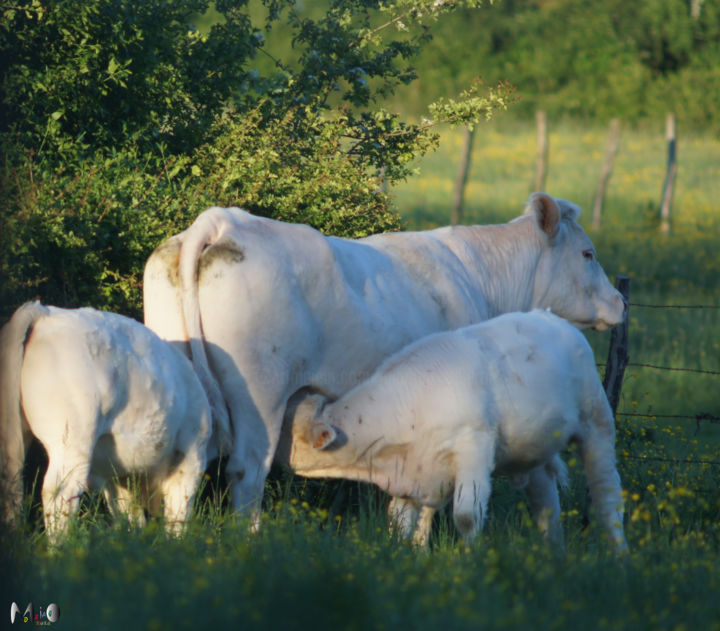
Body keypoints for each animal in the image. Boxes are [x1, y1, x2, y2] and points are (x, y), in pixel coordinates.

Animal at [0, 302, 211, 544]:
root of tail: (45, 312)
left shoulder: (119, 477)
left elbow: (129, 516)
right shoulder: (192, 455)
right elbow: (178, 514)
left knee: (10, 482)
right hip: (72, 438)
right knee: (59, 491)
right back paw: (61, 547)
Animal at [145, 191, 624, 524]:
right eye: (588, 254)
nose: (619, 302)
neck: (481, 279)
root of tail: (223, 220)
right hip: (261, 395)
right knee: (247, 472)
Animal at [284, 310, 628, 552]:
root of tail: (553, 318)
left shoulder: (473, 446)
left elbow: (466, 515)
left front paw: (468, 561)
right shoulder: (413, 475)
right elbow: (404, 522)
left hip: (597, 422)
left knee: (607, 495)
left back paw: (618, 557)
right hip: (535, 451)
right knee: (546, 505)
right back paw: (552, 557)